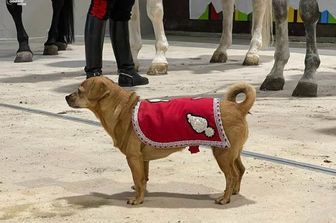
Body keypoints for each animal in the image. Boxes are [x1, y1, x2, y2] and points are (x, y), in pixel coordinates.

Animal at [65, 76, 255, 206]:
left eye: (79, 91)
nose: (66, 97)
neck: (122, 109)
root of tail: (238, 108)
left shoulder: (133, 158)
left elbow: (137, 178)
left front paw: (137, 200)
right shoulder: (143, 160)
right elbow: (143, 179)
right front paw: (142, 192)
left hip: (222, 154)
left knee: (231, 175)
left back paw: (225, 198)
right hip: (233, 153)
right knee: (240, 170)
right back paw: (234, 192)